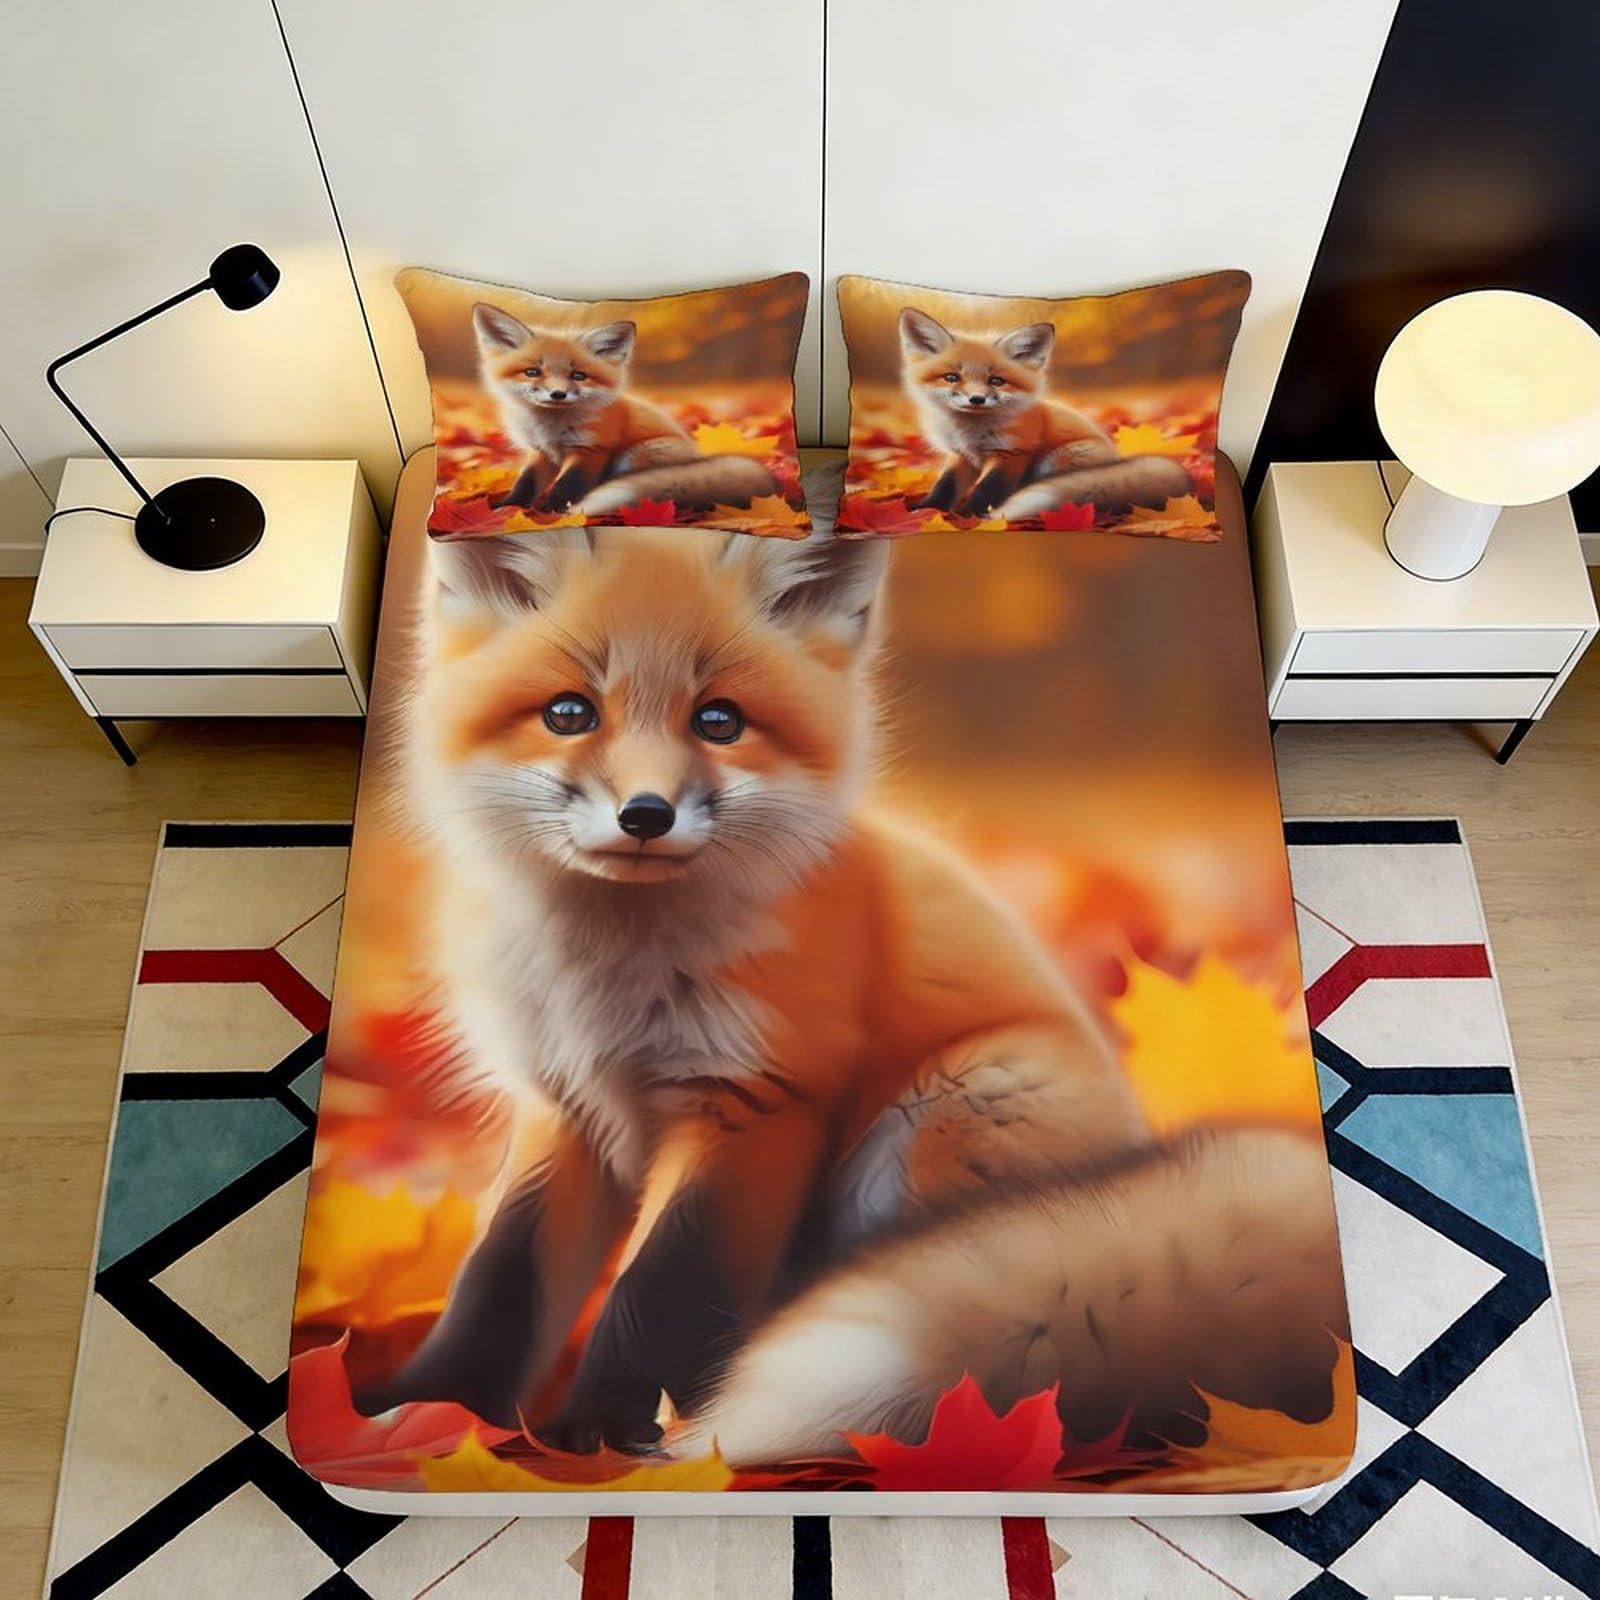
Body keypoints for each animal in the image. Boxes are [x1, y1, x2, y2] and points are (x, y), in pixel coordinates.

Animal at [366, 514, 1349, 1468]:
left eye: (719, 721)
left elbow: (658, 1290)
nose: (645, 815)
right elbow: (500, 1283)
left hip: (948, 1111)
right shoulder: (566, 1106)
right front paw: (429, 1412)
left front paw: (600, 1430)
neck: (606, 973)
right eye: (568, 713)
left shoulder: (754, 1105)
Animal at [473, 303, 778, 517]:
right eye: (532, 372)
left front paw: (552, 512)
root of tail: (697, 458)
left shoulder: (591, 449)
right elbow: (525, 484)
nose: (557, 394)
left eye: (579, 376)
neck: (550, 428)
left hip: (639, 454)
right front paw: (509, 508)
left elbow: (566, 486)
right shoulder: (541, 452)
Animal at [900, 307, 1192, 521]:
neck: (971, 432)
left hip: (1059, 458)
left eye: (996, 381)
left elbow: (987, 489)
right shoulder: (962, 456)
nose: (977, 399)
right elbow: (945, 486)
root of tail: (1116, 458)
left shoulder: (1012, 454)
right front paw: (927, 510)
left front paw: (970, 516)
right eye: (952, 377)